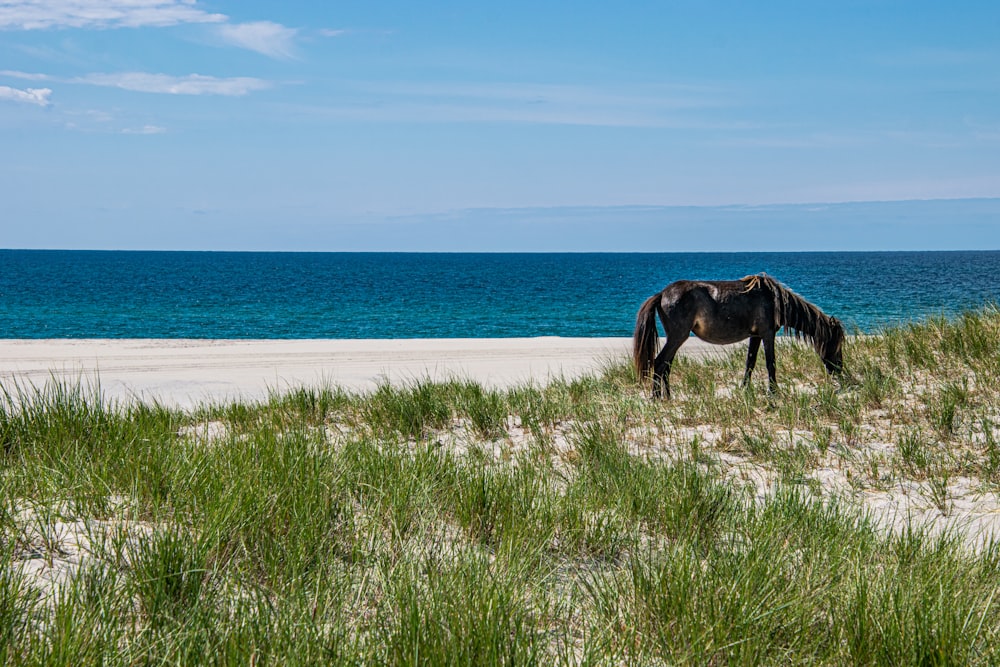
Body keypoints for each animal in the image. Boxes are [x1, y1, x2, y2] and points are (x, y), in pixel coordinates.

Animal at [632, 274, 844, 400]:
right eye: (836, 345)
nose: (839, 371)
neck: (773, 300)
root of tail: (662, 294)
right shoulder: (767, 334)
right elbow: (770, 363)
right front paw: (774, 393)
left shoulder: (756, 336)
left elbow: (750, 362)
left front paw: (745, 389)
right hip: (677, 337)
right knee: (660, 363)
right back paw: (657, 398)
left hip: (676, 338)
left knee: (666, 366)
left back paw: (668, 396)